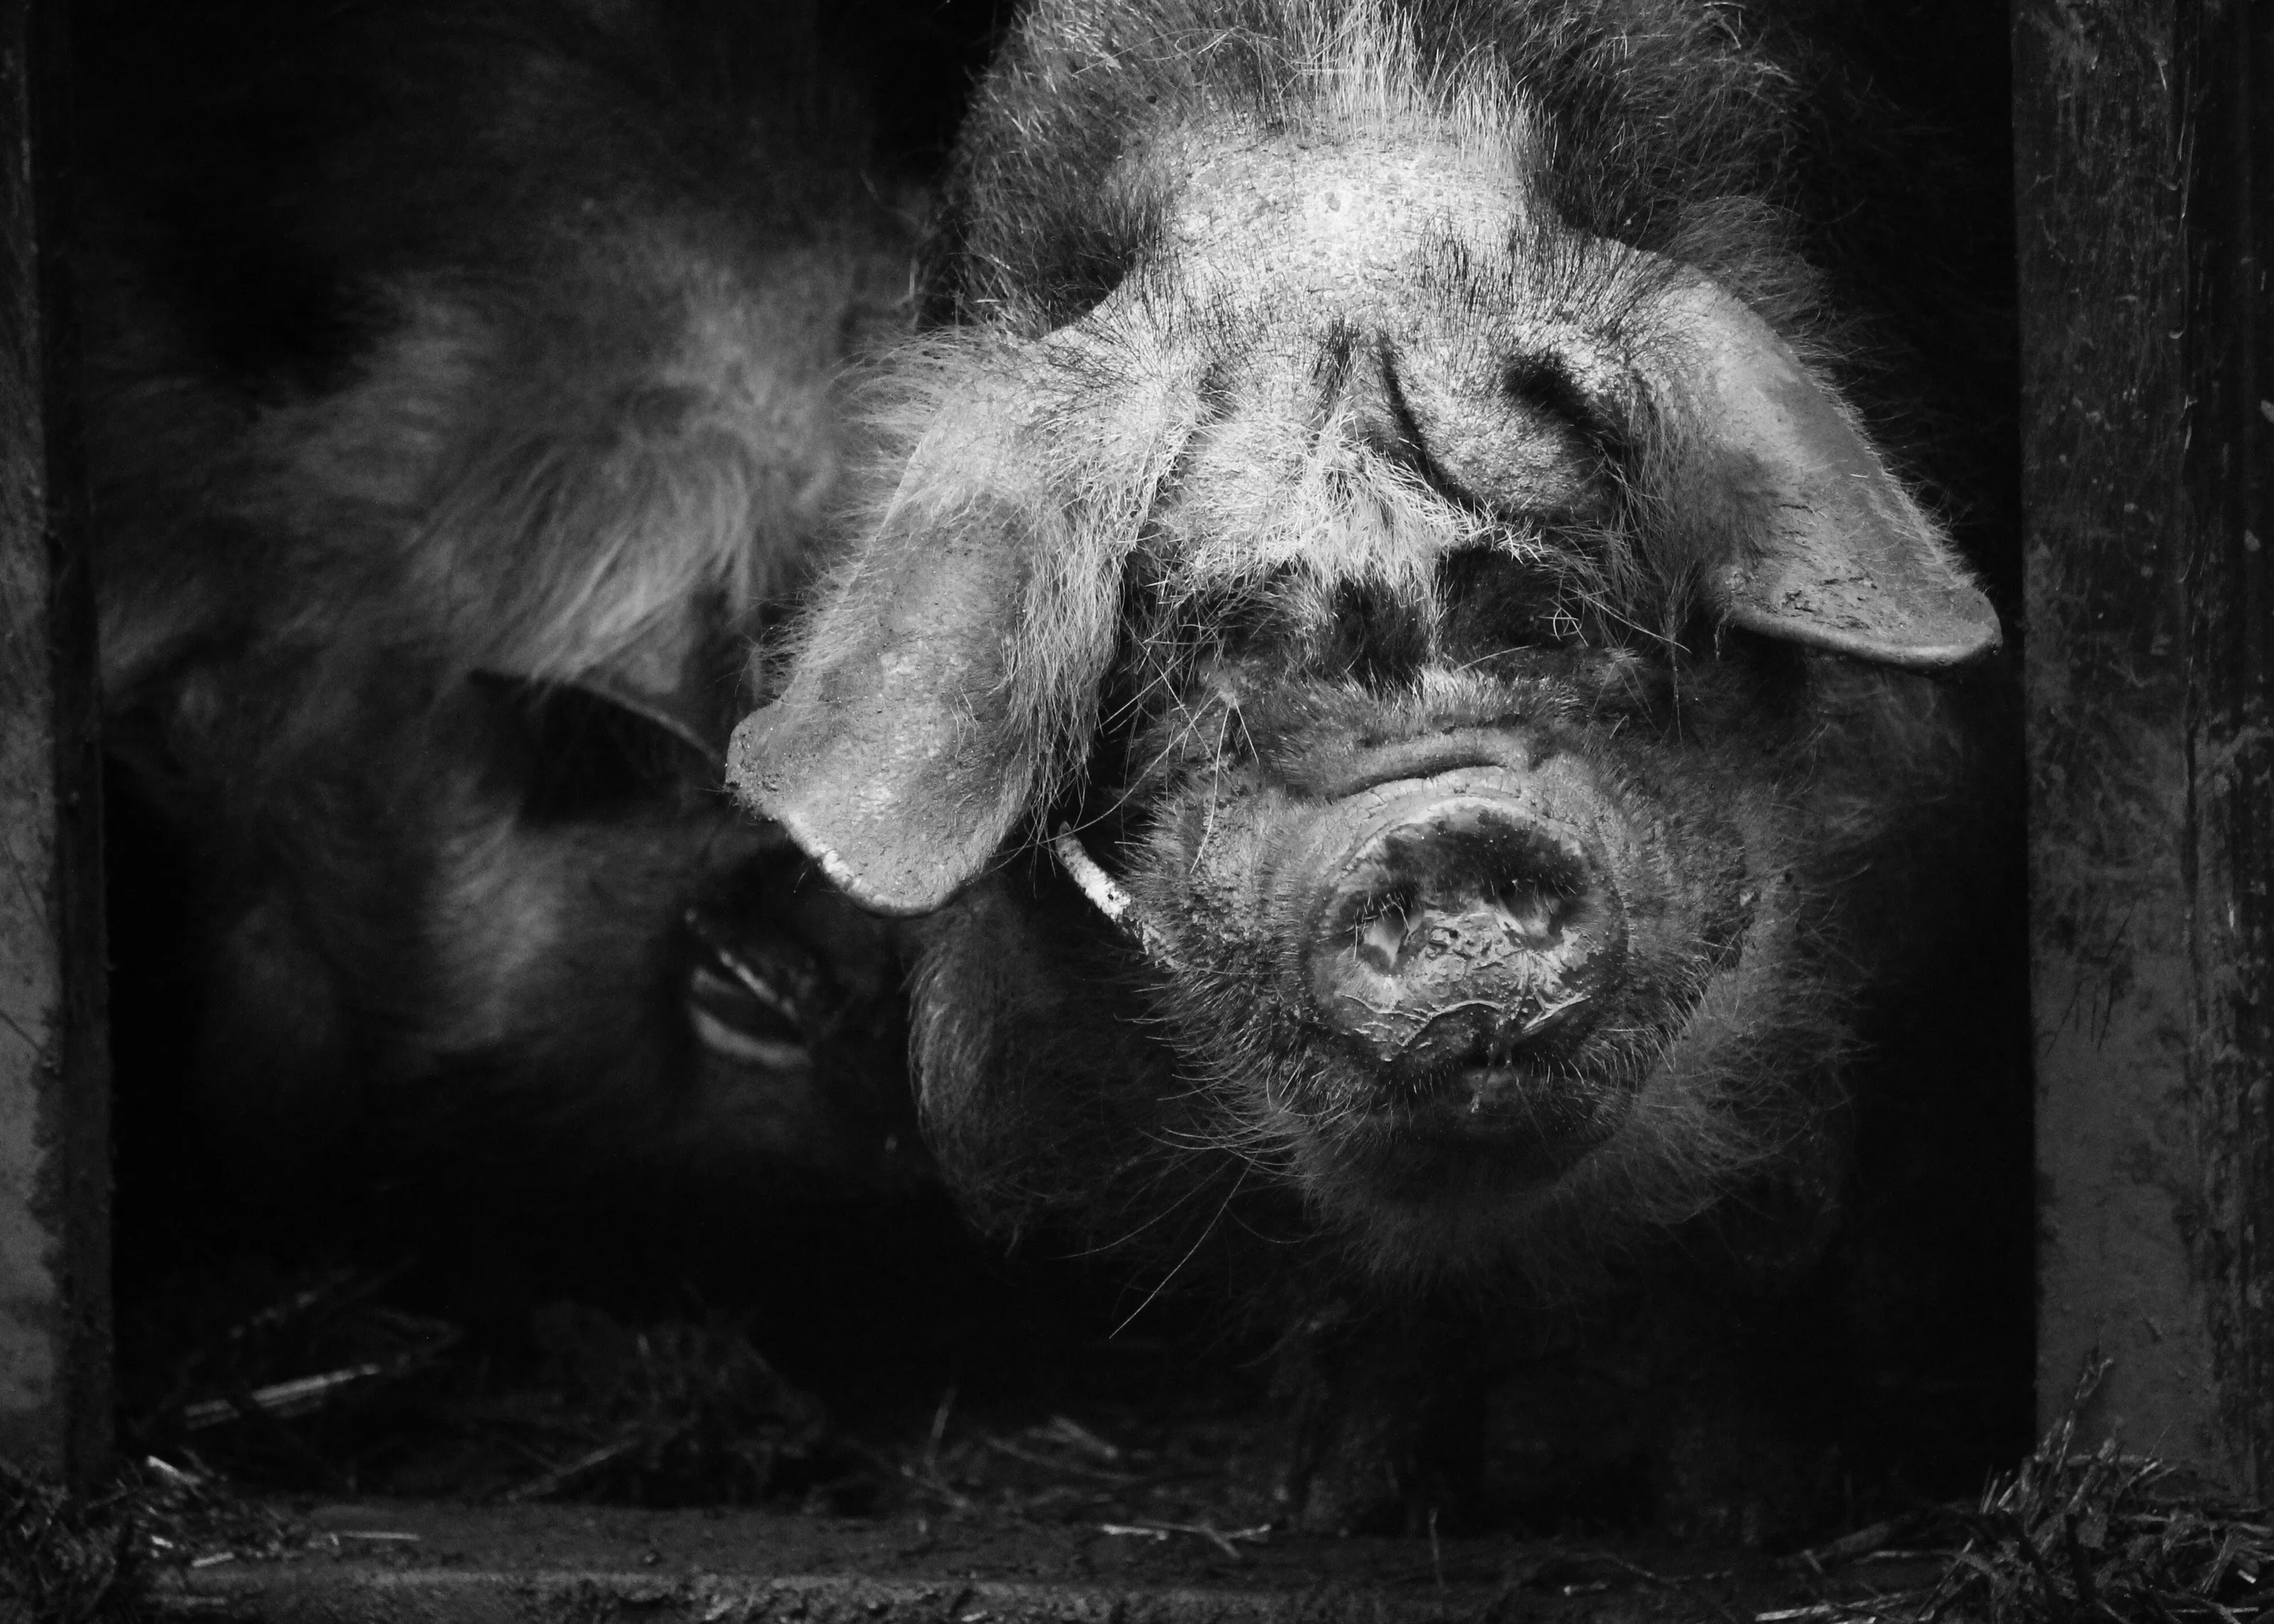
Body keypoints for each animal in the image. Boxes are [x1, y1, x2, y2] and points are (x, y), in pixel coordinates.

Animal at [733, 0, 2016, 1534]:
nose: (1449, 834)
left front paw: (1750, 1524)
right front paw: (1340, 1516)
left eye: (1553, 612)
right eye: (1213, 664)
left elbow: (1761, 1260)